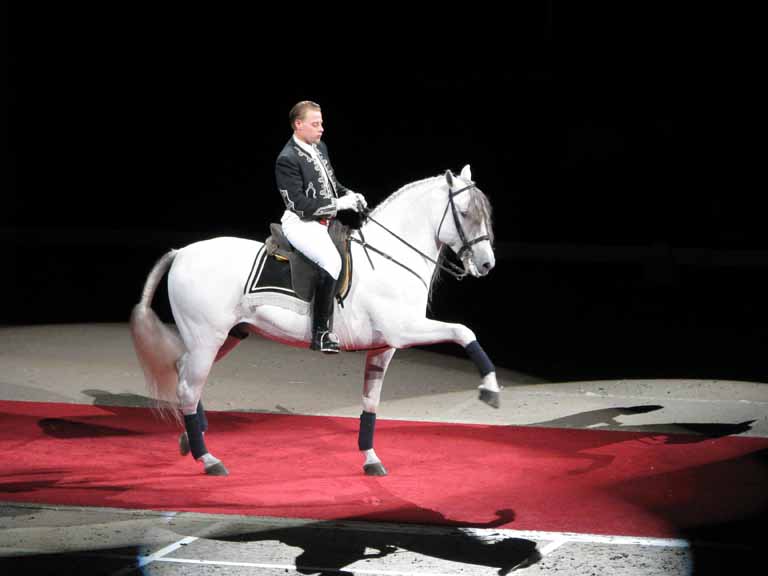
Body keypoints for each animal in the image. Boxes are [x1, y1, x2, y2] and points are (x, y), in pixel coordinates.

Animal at [130, 165, 498, 476]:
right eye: (466, 214)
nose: (486, 265)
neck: (390, 258)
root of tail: (181, 252)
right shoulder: (404, 331)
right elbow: (463, 330)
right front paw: (490, 389)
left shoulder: (384, 347)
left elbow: (371, 401)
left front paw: (370, 458)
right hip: (207, 337)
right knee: (188, 386)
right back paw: (207, 458)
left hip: (226, 336)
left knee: (184, 376)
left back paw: (190, 439)